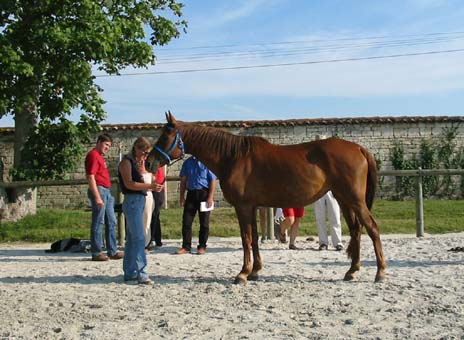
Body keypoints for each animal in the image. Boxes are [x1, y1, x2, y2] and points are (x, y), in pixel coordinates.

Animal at [147, 112, 386, 284]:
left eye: (165, 135)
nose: (149, 162)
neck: (233, 157)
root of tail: (358, 148)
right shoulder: (252, 207)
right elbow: (254, 239)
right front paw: (255, 271)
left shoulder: (243, 207)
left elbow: (246, 239)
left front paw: (242, 274)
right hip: (344, 200)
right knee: (356, 230)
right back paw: (352, 271)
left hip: (354, 200)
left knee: (372, 228)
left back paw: (380, 273)